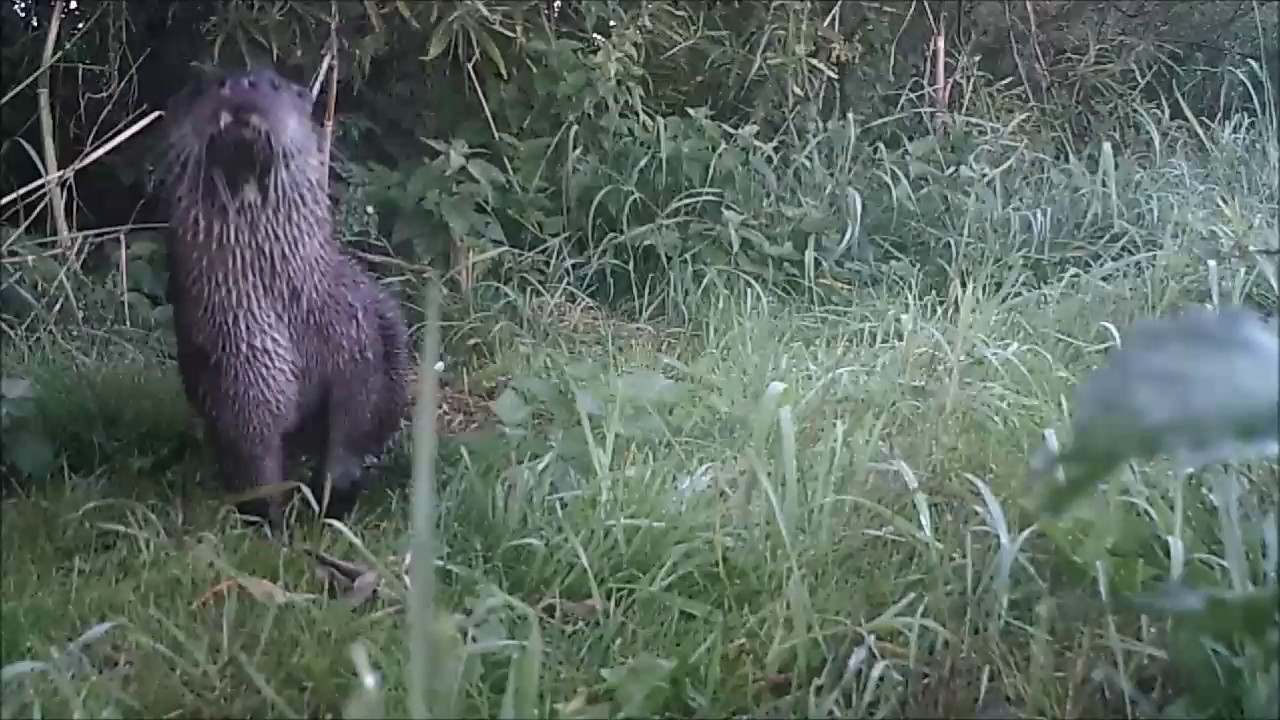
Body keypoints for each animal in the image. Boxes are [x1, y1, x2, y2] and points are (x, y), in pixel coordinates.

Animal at [156, 67, 412, 527]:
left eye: (273, 84)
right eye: (209, 85)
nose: (240, 85)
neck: (292, 309)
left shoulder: (357, 343)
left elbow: (353, 420)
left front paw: (334, 496)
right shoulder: (239, 354)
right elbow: (252, 441)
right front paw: (268, 516)